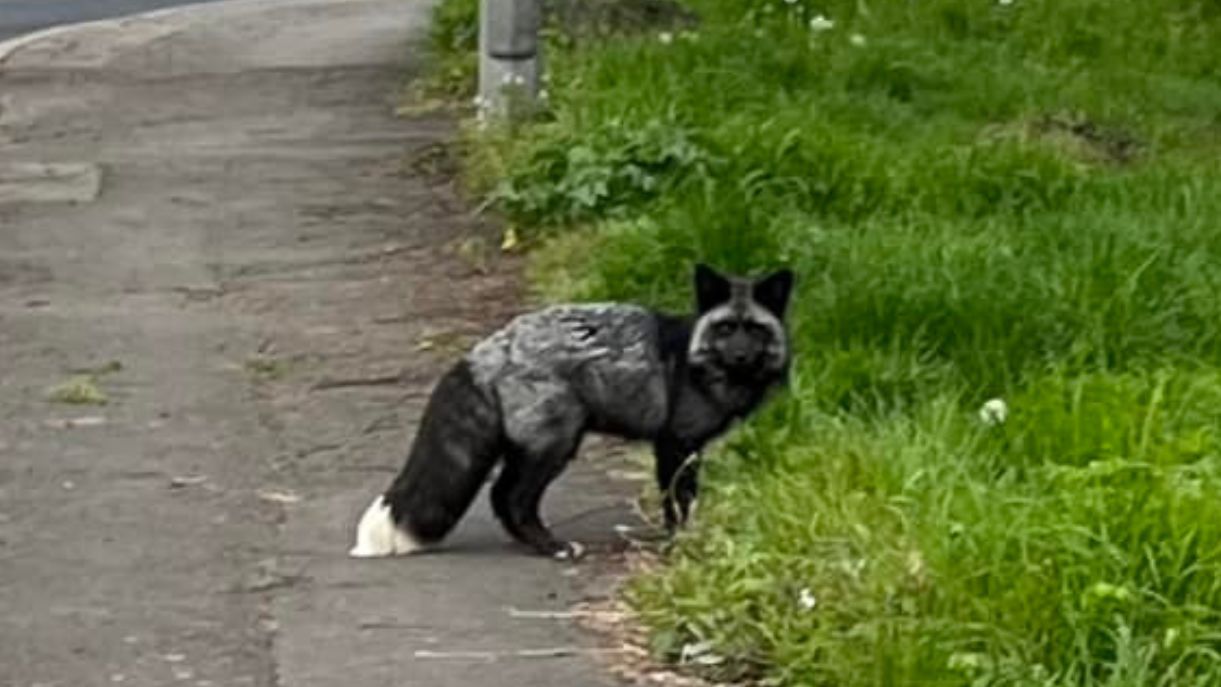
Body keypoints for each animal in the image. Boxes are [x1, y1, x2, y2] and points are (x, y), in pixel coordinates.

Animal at [349, 263, 796, 558]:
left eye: (755, 330)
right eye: (726, 329)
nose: (740, 356)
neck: (697, 362)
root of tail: (490, 348)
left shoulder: (686, 447)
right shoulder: (675, 442)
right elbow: (678, 502)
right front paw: (682, 545)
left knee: (503, 497)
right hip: (556, 442)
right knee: (507, 497)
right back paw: (552, 547)